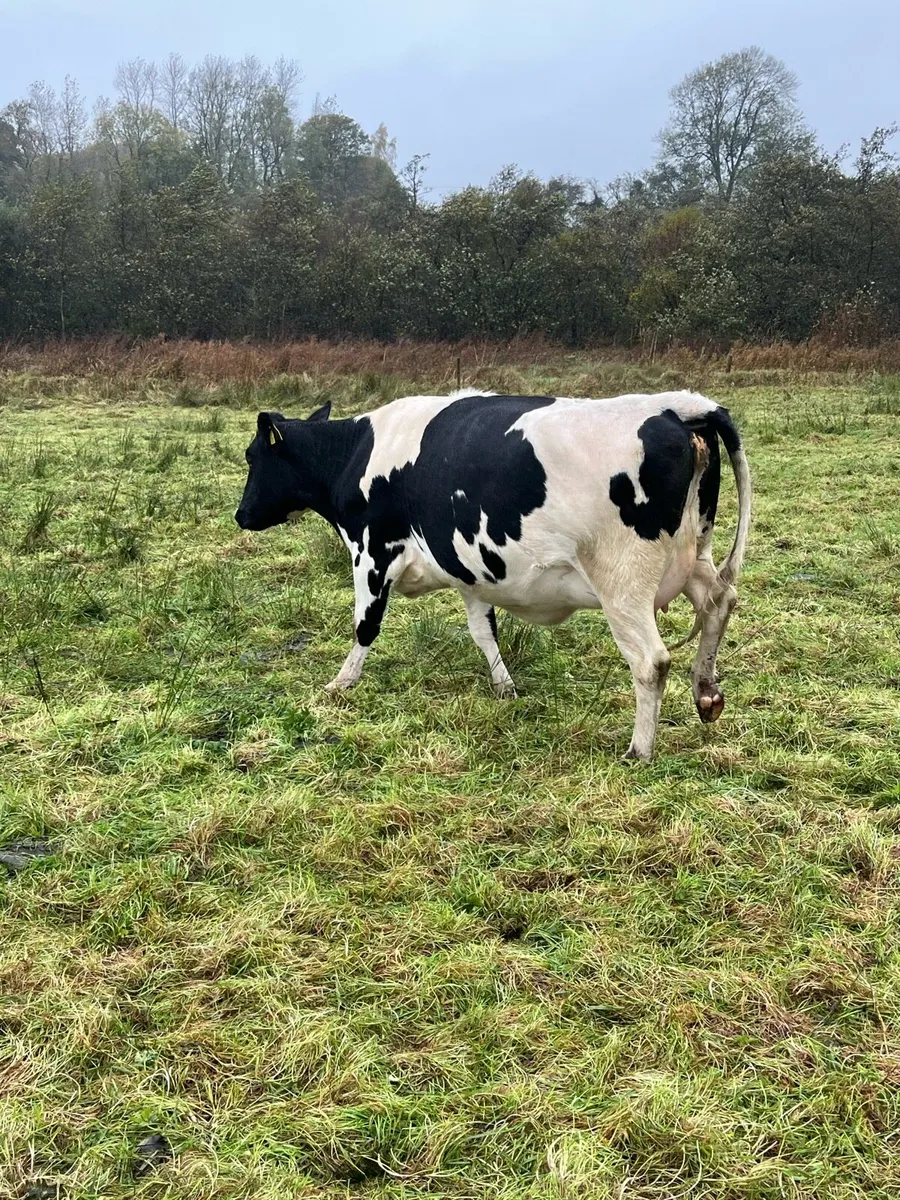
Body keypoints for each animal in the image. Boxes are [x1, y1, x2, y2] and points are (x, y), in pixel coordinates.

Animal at [235, 389, 751, 761]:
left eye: (251, 457)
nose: (241, 515)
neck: (356, 455)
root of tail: (677, 406)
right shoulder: (470, 568)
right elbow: (483, 631)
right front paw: (505, 687)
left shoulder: (371, 552)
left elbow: (366, 626)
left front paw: (341, 683)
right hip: (694, 555)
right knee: (718, 604)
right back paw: (706, 693)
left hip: (622, 583)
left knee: (651, 661)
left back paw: (639, 749)